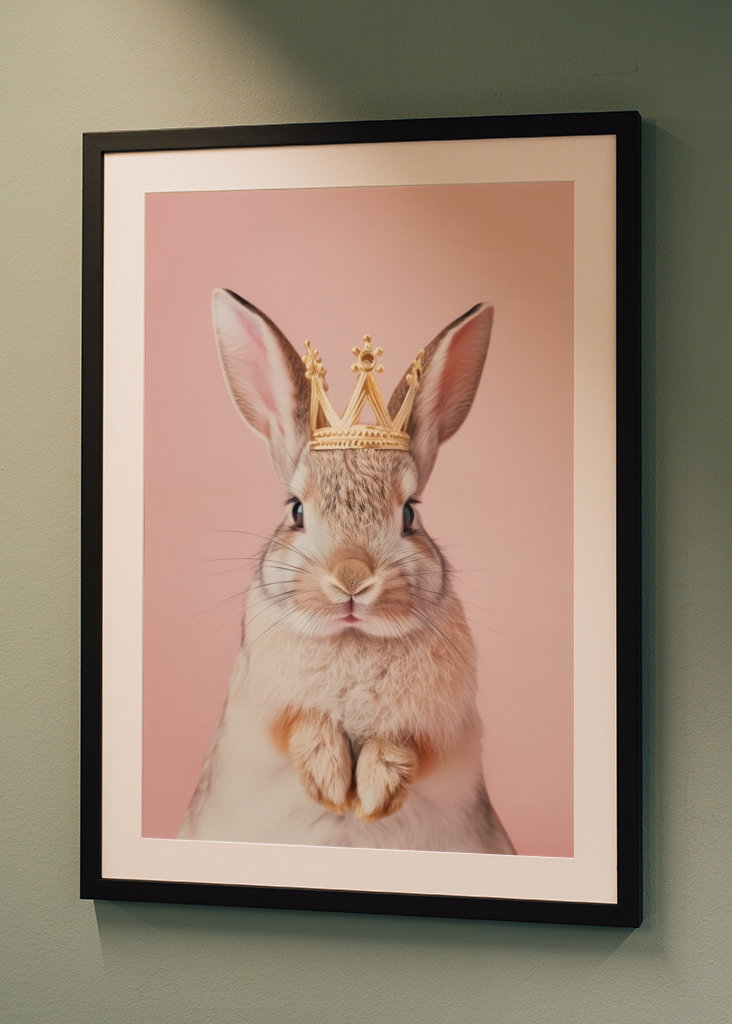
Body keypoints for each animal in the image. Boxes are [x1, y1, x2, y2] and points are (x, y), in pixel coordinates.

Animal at [178, 288, 515, 855]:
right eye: (295, 510)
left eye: (410, 514)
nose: (352, 579)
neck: (355, 638)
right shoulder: (258, 713)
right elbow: (300, 725)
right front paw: (331, 783)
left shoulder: (448, 734)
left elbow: (409, 744)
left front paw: (376, 791)